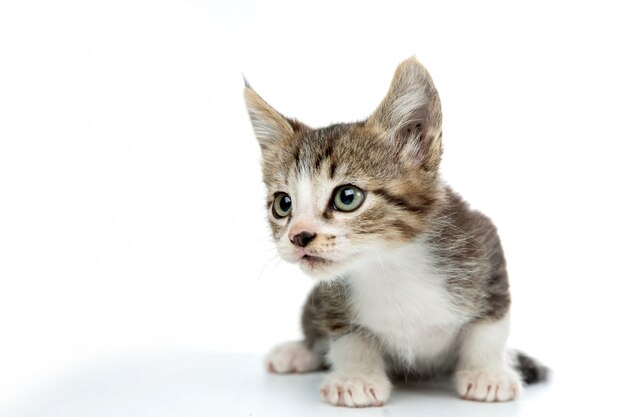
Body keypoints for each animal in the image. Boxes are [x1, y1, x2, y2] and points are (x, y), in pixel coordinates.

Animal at [241, 57, 544, 406]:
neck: (391, 265)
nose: (298, 236)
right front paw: (356, 378)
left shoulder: (485, 250)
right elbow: (349, 336)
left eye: (347, 197)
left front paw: (487, 374)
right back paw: (297, 352)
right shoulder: (331, 297)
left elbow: (488, 329)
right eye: (283, 203)